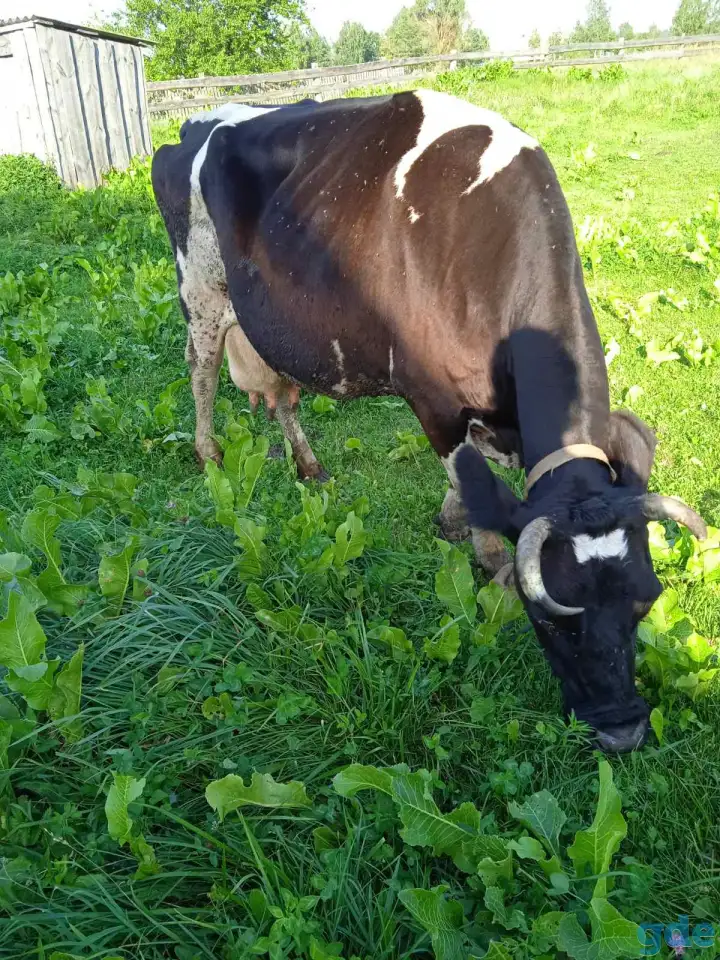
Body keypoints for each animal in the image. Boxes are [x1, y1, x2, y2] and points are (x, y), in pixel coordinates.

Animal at [151, 91, 707, 753]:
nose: (623, 730)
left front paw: (450, 519)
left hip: (278, 325)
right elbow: (468, 480)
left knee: (284, 395)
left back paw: (309, 466)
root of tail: (200, 118)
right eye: (548, 619)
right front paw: (485, 563)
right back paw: (208, 453)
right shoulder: (432, 399)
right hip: (201, 292)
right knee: (201, 368)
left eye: (643, 605)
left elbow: (475, 478)